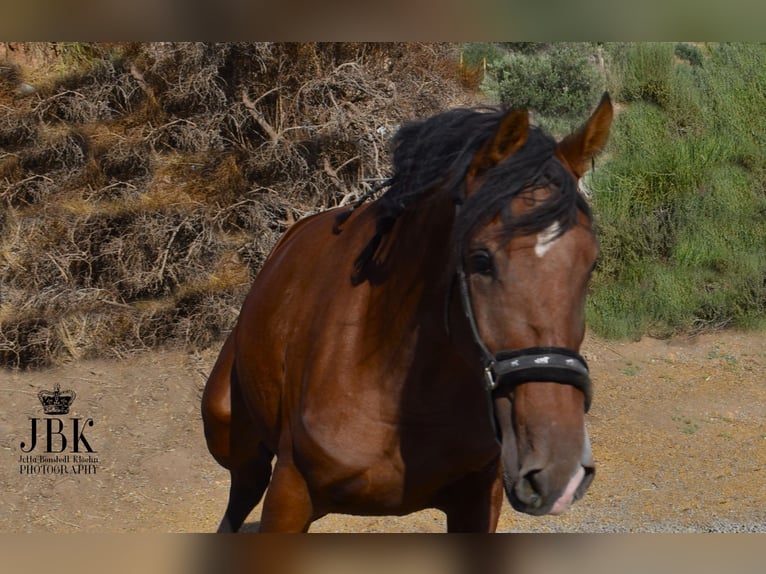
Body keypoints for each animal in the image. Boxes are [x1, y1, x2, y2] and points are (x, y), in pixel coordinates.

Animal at [201, 94, 616, 536]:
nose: (559, 470)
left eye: (590, 264)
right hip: (231, 435)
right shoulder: (289, 494)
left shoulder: (478, 500)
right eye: (481, 260)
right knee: (243, 488)